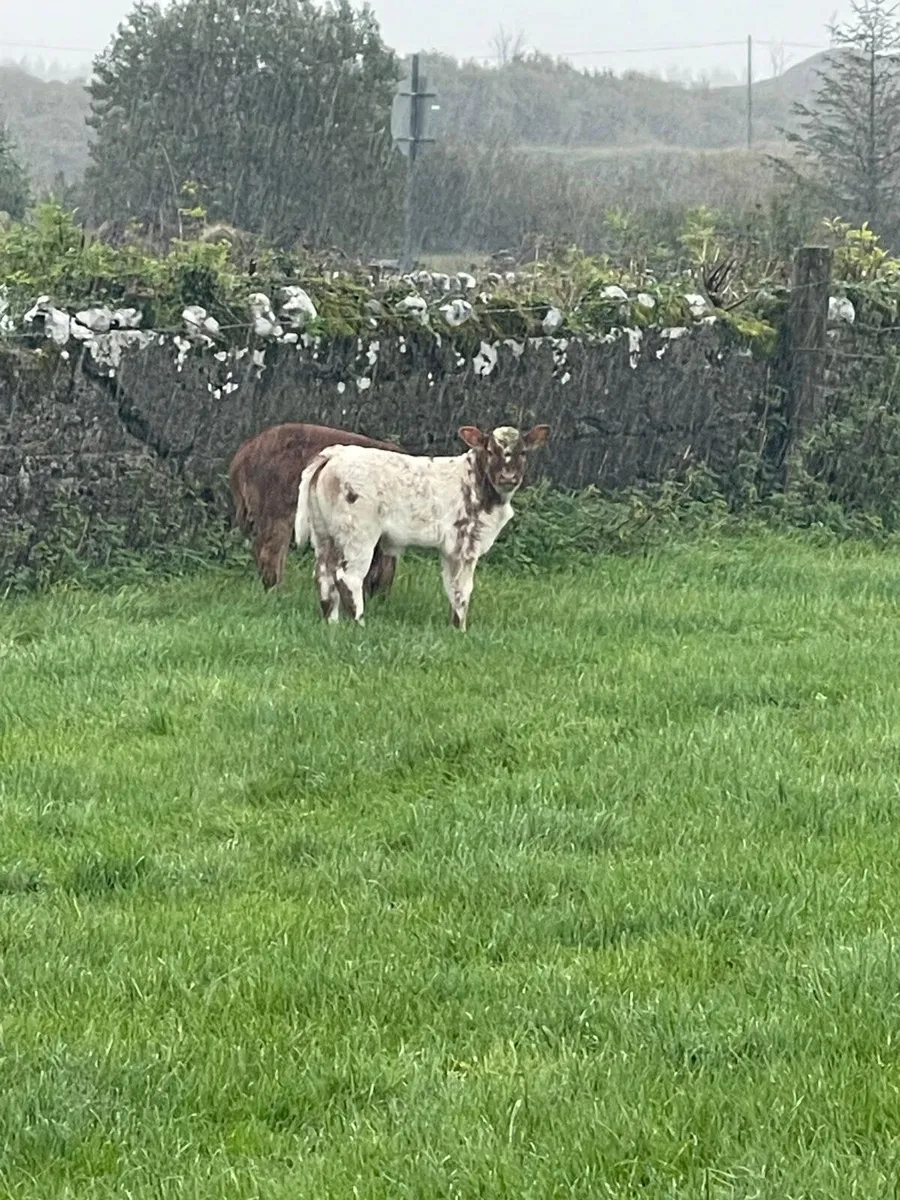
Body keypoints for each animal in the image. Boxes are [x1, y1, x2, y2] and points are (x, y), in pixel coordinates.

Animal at [294, 423, 550, 630]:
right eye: (490, 451)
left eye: (523, 452)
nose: (508, 477)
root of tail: (335, 453)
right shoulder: (467, 543)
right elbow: (463, 589)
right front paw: (461, 629)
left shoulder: (450, 550)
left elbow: (451, 587)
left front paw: (454, 628)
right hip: (358, 534)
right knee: (348, 577)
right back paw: (359, 624)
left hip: (323, 533)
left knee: (324, 574)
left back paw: (332, 623)